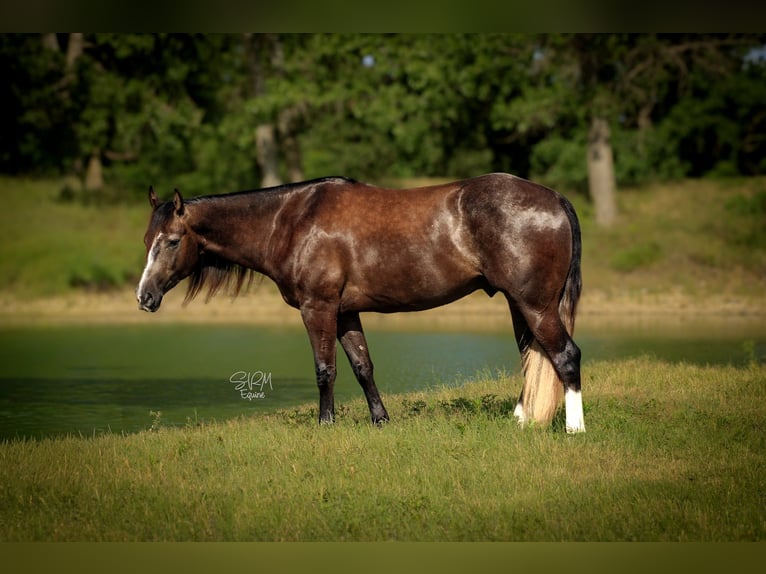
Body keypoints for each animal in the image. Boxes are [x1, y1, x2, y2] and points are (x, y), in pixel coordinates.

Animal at [136, 173, 585, 433]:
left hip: (535, 304)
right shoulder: (346, 312)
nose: (144, 297)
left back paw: (574, 430)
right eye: (146, 240)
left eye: (172, 241)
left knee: (565, 355)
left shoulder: (317, 307)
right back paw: (521, 420)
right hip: (518, 303)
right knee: (532, 354)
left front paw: (325, 425)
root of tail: (555, 198)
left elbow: (325, 370)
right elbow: (362, 366)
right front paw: (380, 421)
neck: (291, 220)